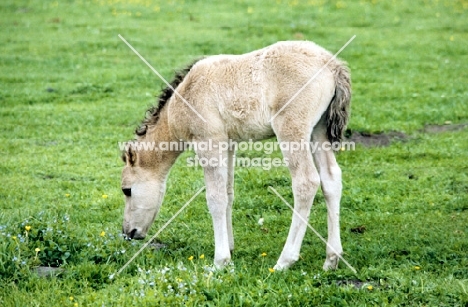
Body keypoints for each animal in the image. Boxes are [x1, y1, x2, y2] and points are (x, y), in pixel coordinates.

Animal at [120, 41, 352, 272]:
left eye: (127, 190)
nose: (128, 232)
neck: (186, 94)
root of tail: (331, 64)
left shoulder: (208, 142)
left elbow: (215, 198)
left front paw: (220, 260)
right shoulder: (228, 144)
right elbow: (228, 193)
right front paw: (230, 247)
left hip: (291, 129)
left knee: (306, 181)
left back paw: (285, 261)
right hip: (318, 130)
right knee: (331, 179)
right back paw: (332, 259)